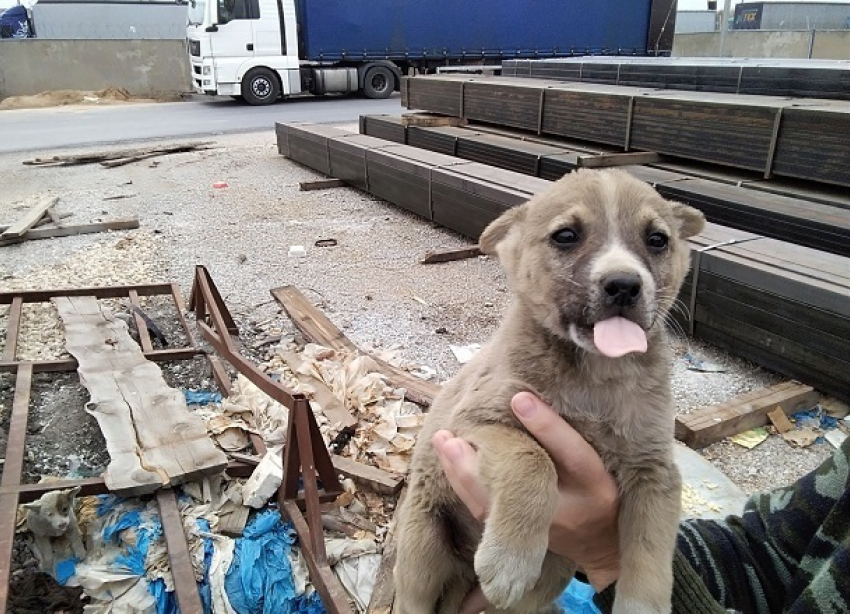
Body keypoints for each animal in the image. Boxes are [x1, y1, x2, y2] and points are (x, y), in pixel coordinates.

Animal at [394, 170, 704, 614]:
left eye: (658, 239)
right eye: (566, 235)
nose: (624, 285)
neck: (595, 375)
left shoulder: (654, 470)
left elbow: (651, 551)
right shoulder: (477, 421)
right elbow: (533, 460)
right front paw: (509, 560)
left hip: (555, 568)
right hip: (422, 548)